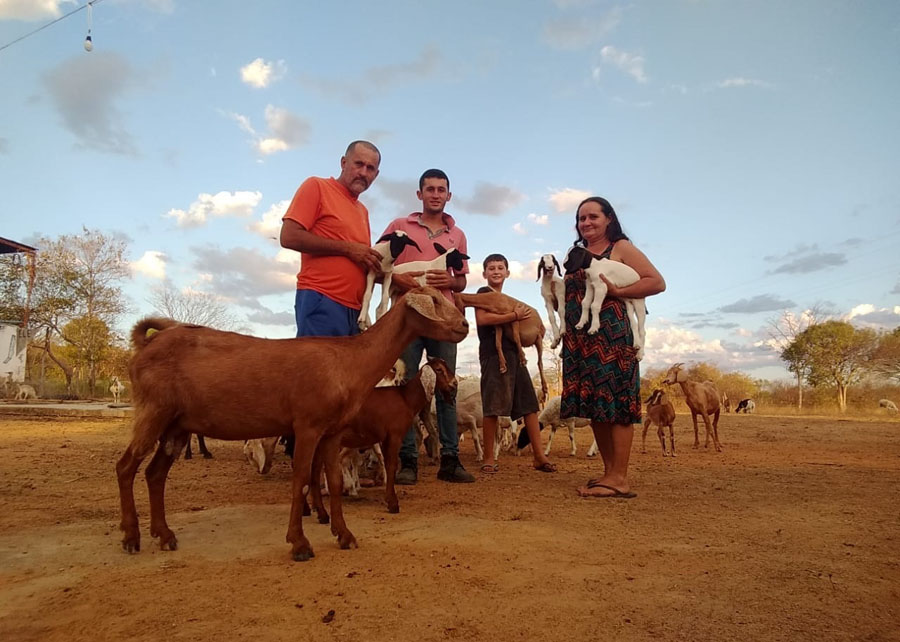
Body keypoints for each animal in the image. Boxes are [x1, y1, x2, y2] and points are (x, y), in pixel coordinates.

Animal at [308, 356, 458, 516]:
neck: (405, 398)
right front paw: (392, 503)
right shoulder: (394, 436)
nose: (454, 382)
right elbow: (391, 465)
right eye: (439, 369)